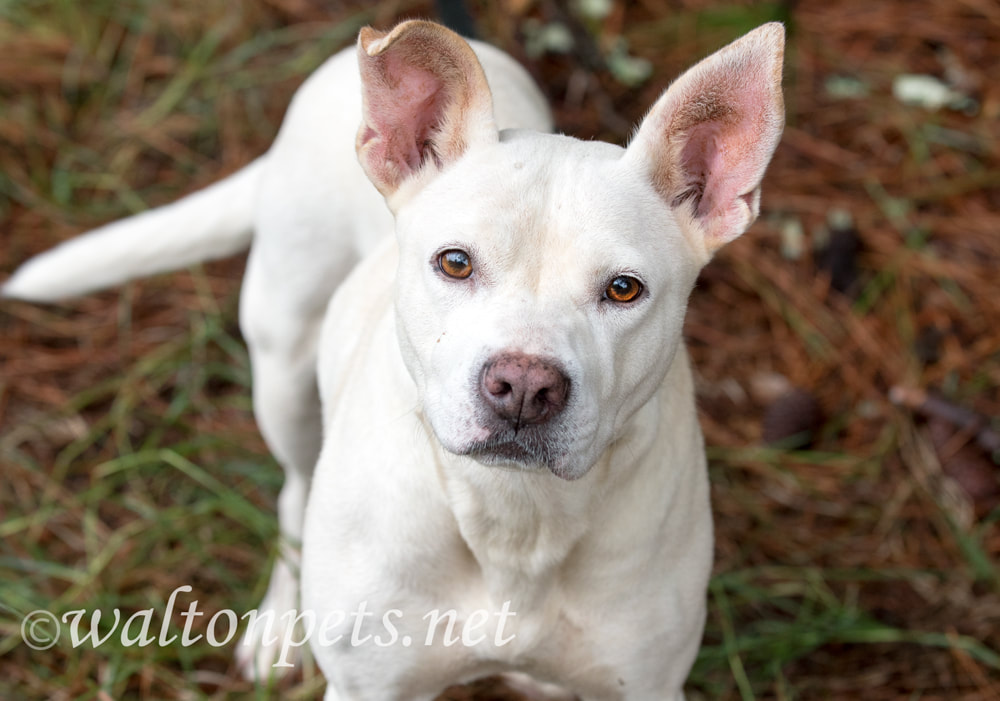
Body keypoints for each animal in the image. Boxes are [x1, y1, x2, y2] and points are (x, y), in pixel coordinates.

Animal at [3, 19, 784, 696]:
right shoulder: (370, 681)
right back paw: (281, 625)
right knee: (293, 492)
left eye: (624, 289)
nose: (523, 386)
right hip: (283, 371)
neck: (515, 518)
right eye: (455, 262)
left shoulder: (641, 680)